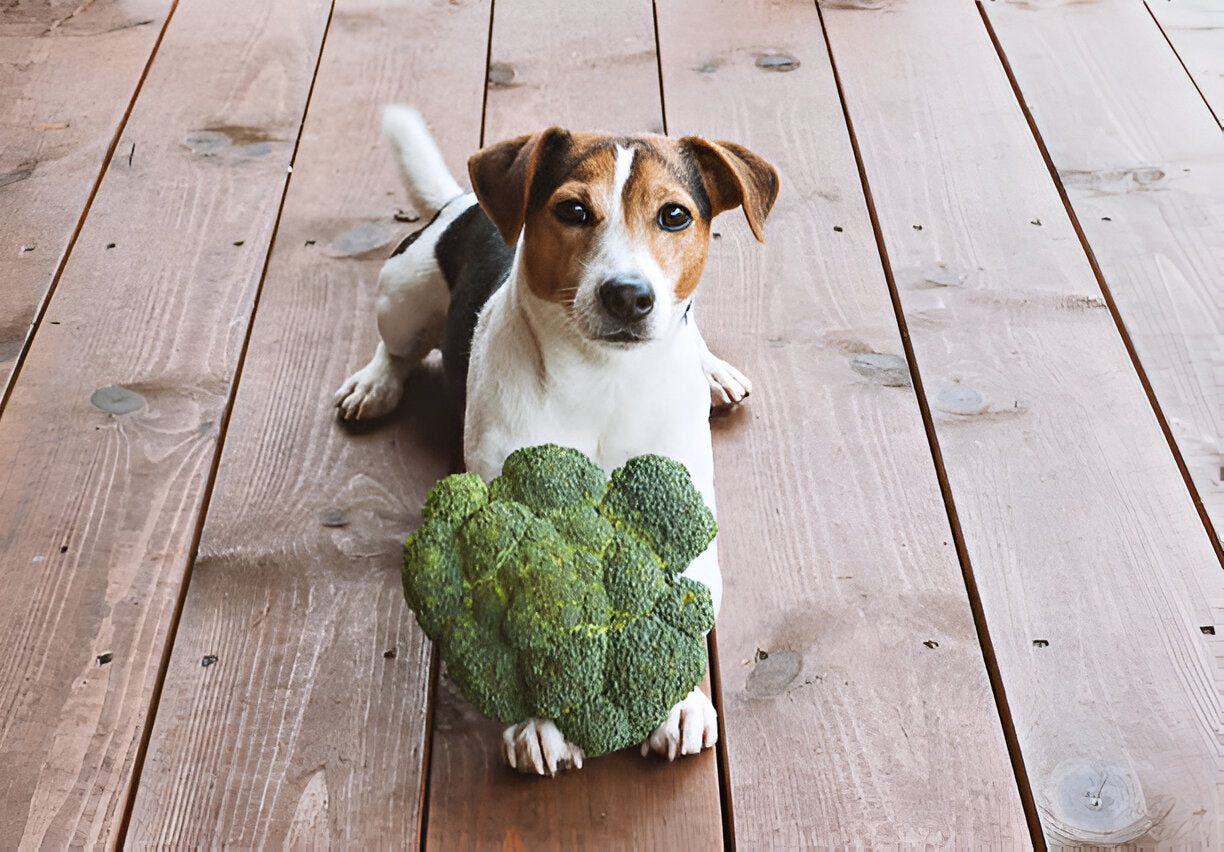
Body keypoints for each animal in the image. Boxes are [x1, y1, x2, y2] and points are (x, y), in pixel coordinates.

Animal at [332, 104, 773, 773]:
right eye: (572, 211)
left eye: (674, 215)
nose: (628, 295)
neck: (602, 377)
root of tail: (461, 201)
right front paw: (540, 721)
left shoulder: (683, 508)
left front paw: (677, 702)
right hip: (401, 293)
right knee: (398, 347)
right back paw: (376, 383)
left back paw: (712, 369)